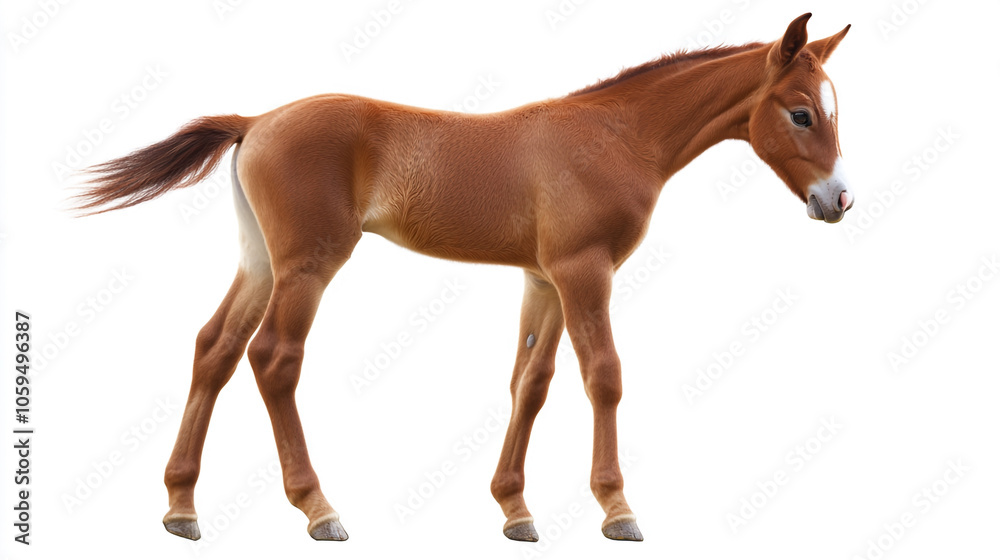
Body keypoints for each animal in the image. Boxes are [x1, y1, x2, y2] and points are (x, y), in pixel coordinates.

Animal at [75, 12, 852, 543]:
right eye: (801, 113)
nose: (839, 200)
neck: (616, 136)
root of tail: (257, 118)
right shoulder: (584, 270)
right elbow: (603, 375)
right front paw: (617, 508)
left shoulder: (542, 280)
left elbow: (530, 383)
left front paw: (515, 509)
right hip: (308, 264)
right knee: (273, 358)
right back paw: (319, 509)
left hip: (260, 261)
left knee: (216, 347)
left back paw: (181, 506)